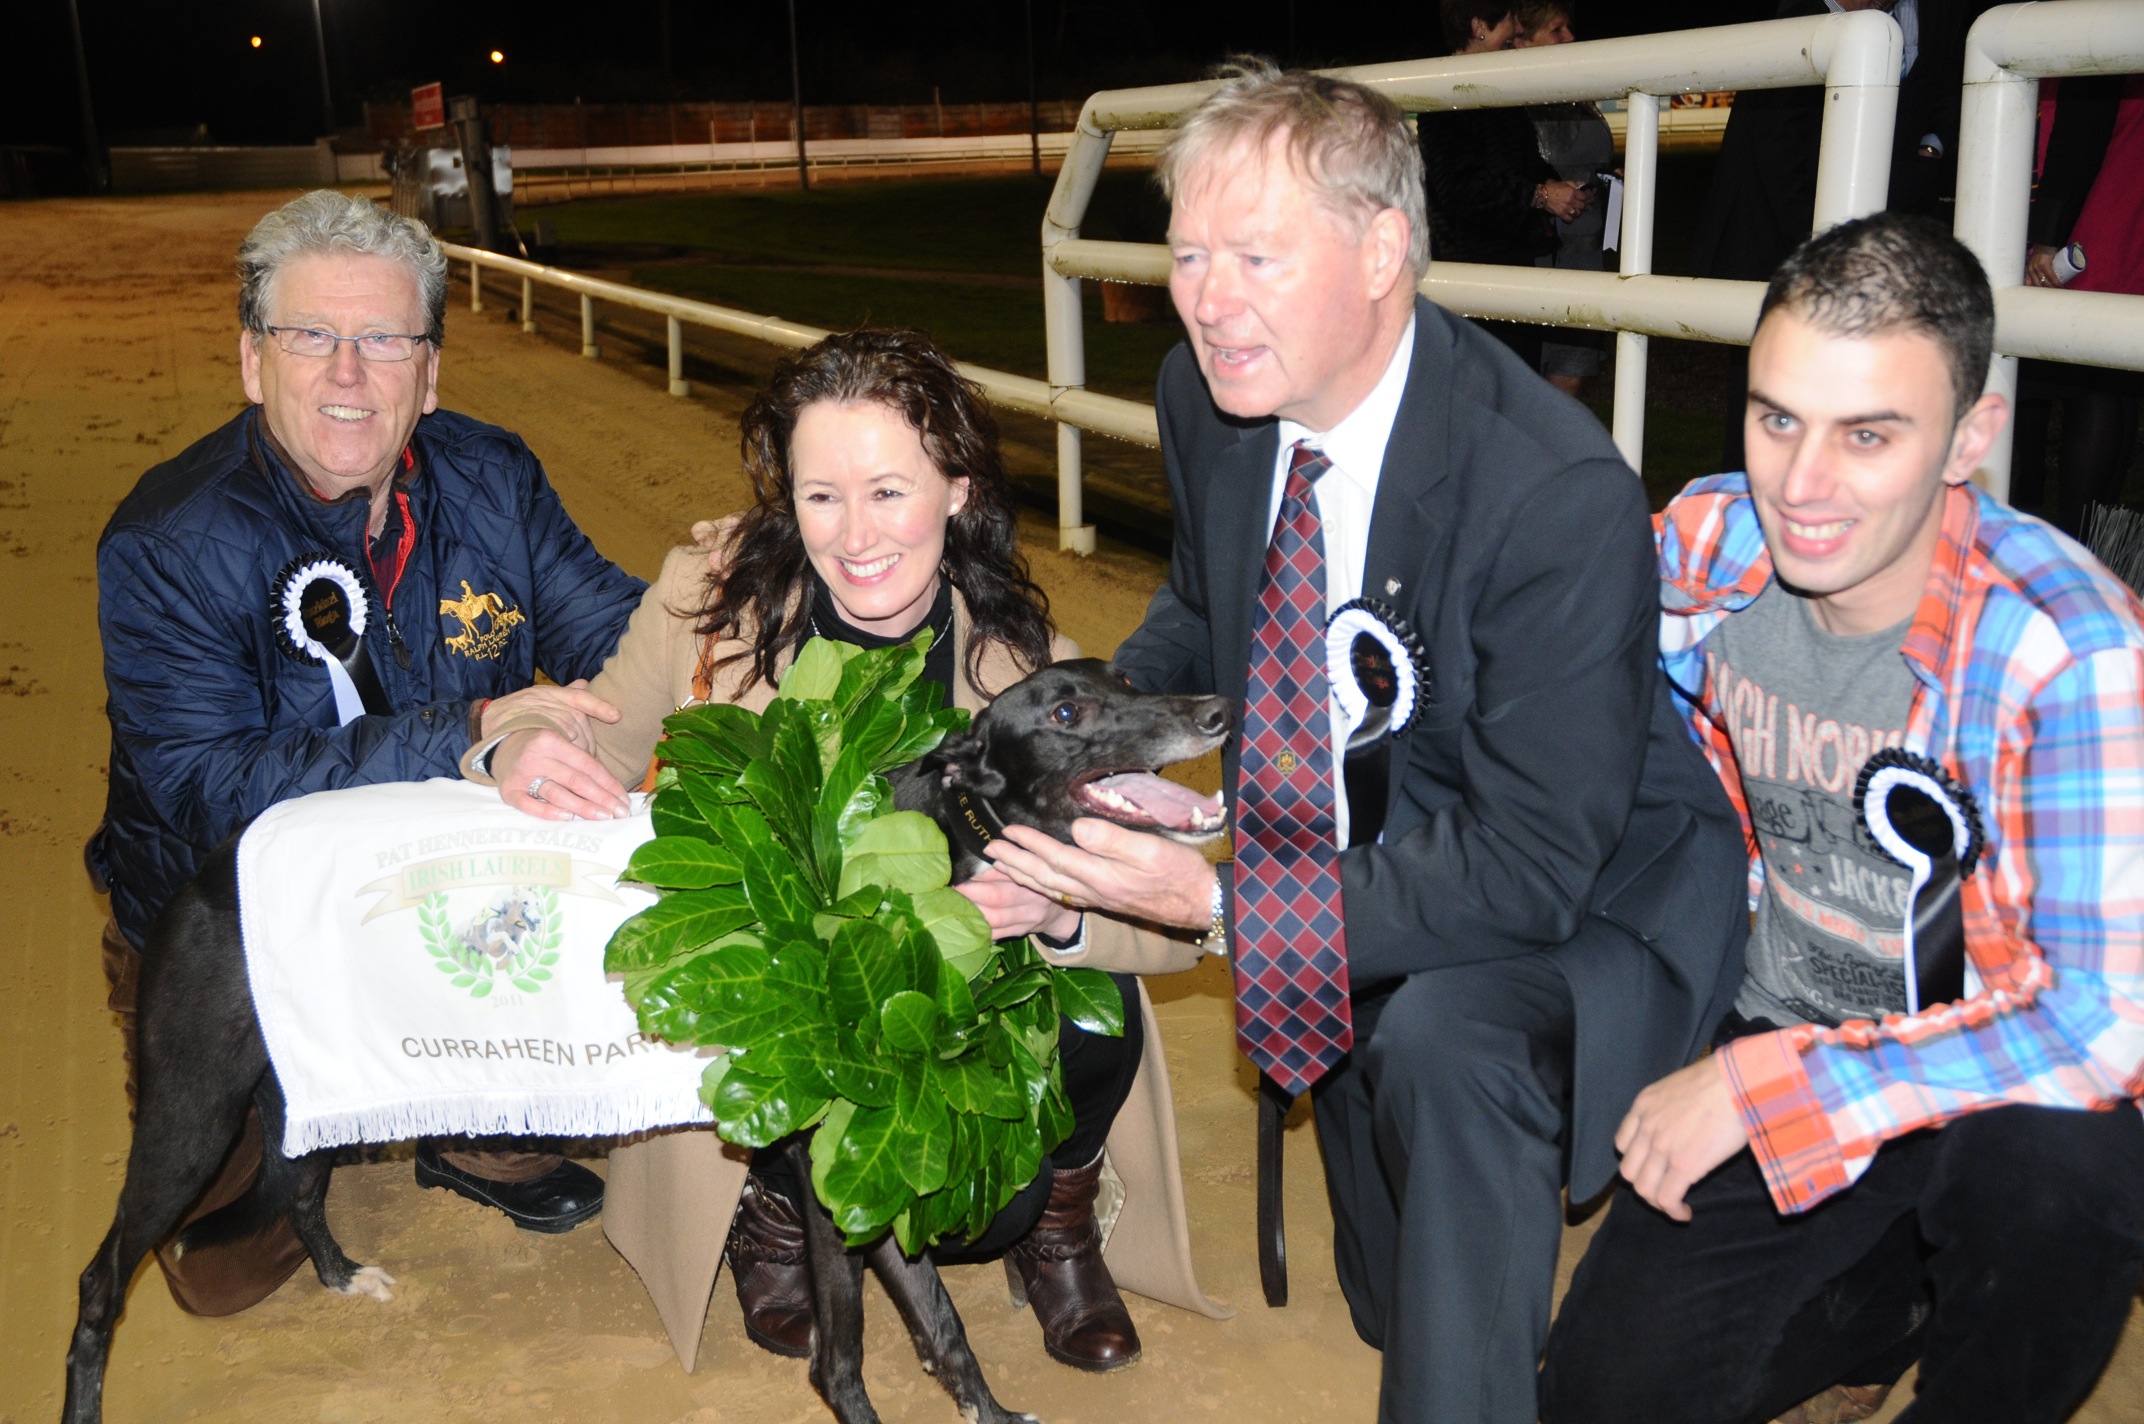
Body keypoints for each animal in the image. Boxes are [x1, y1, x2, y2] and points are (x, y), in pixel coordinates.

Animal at [62, 660, 1226, 1423]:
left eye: (1121, 675)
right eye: (1069, 707)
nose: (1215, 706)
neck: (910, 862)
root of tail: (203, 874)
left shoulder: (873, 1164)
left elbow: (942, 1326)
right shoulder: (830, 1179)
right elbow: (844, 1353)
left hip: (310, 1083)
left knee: (301, 1187)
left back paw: (347, 1277)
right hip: (190, 1110)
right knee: (102, 1277)